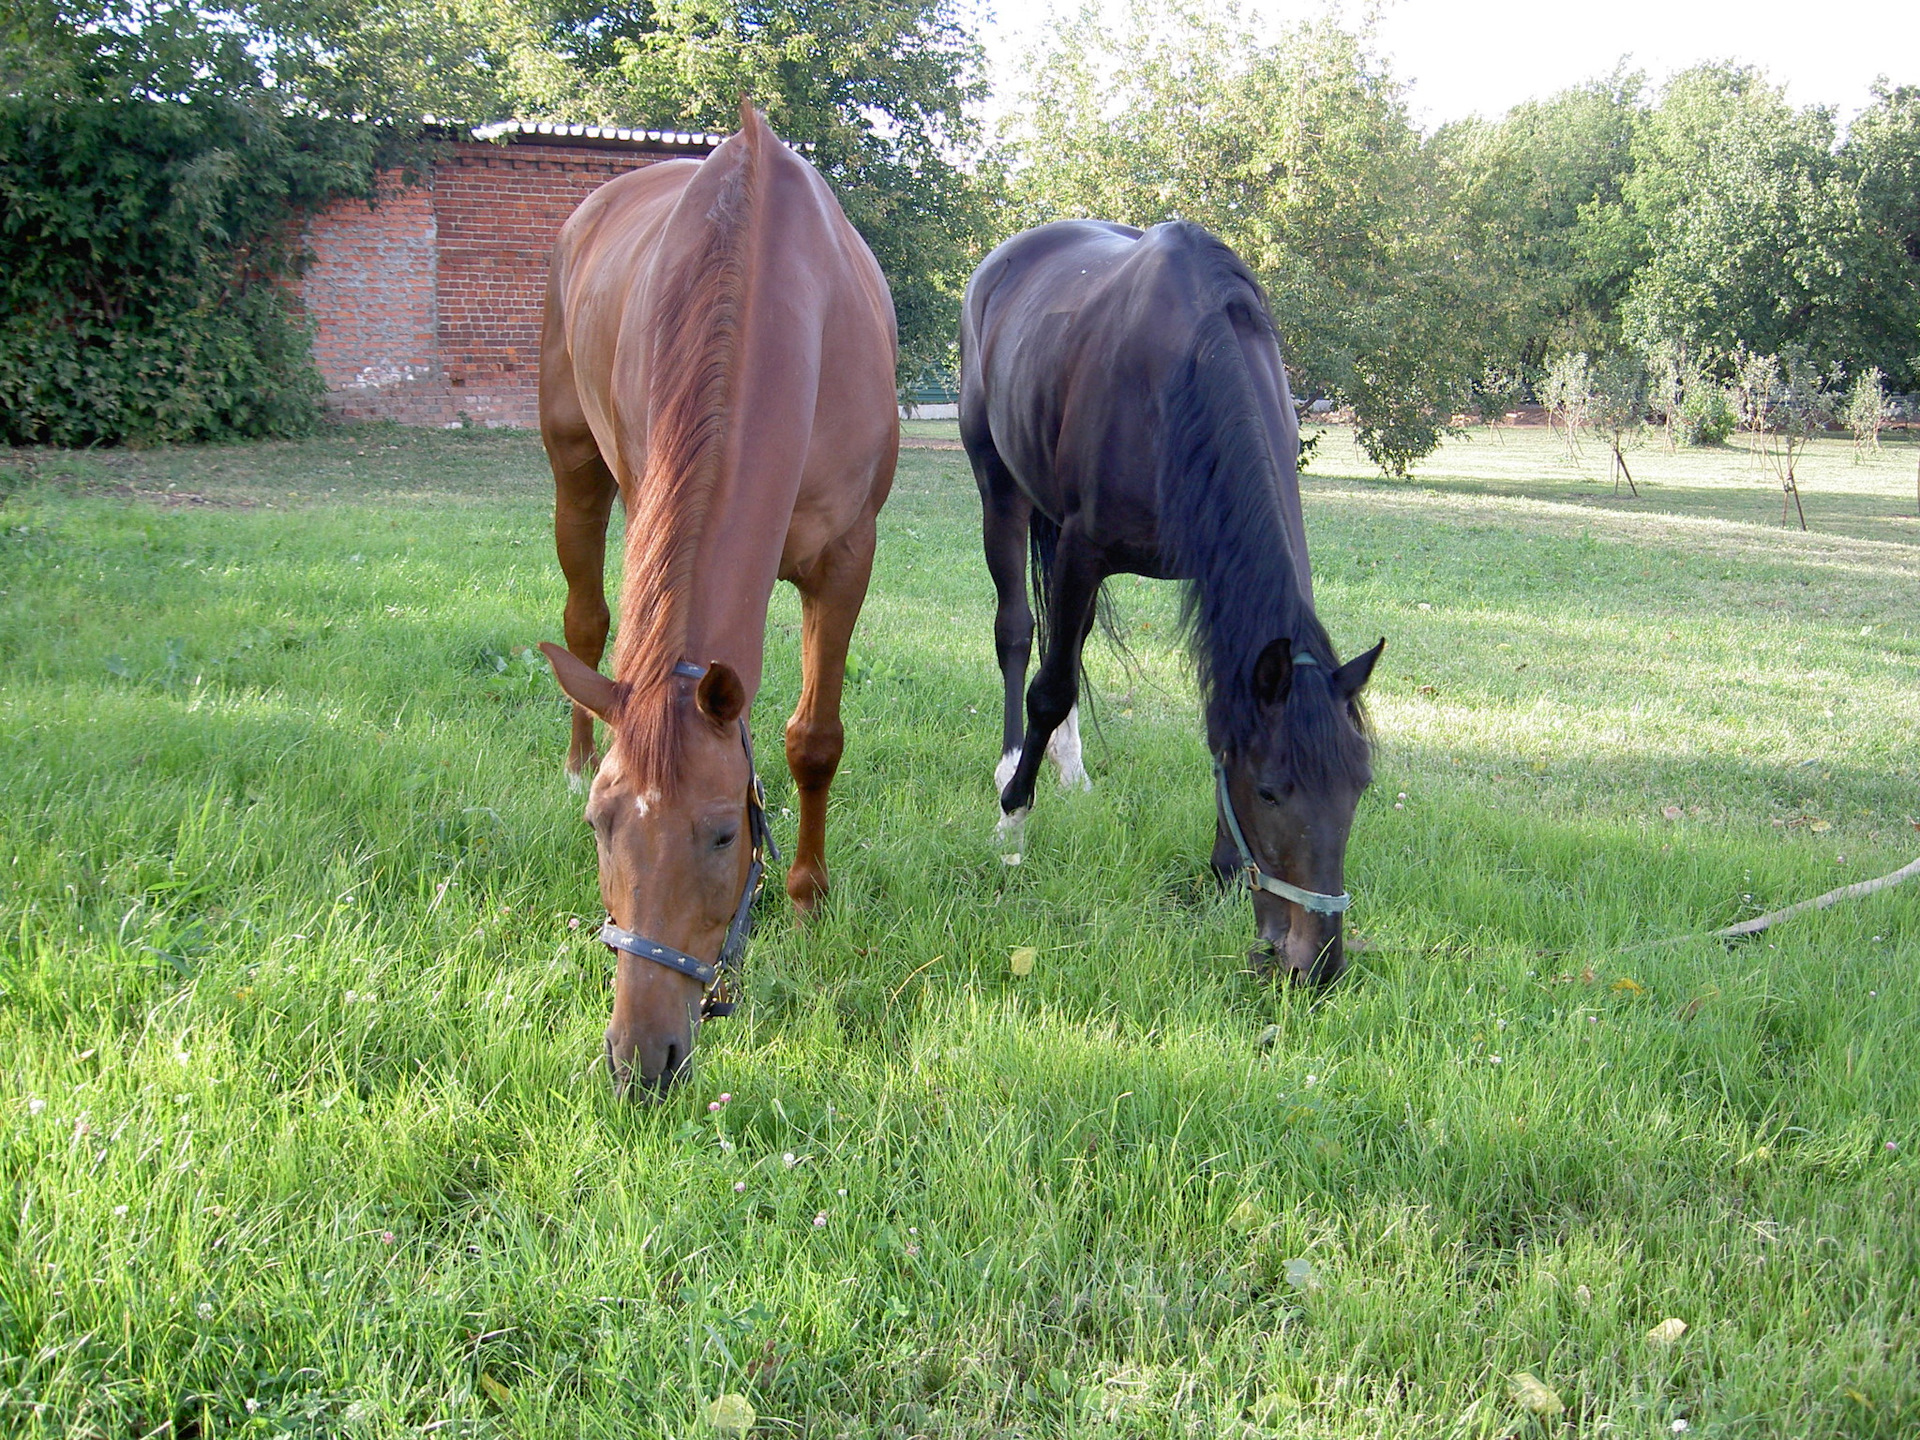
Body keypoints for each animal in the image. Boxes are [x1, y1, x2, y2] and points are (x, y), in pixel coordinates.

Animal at [541, 98, 898, 1090]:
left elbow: (814, 741)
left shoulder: (846, 559)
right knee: (586, 623)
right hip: (576, 468)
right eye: (599, 827)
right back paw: (576, 748)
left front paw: (808, 899)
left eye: (720, 836)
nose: (640, 1059)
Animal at [960, 222, 1382, 990]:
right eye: (1270, 792)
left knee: (1068, 640)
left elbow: (1210, 714)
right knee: (1019, 635)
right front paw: (1013, 822)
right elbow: (1049, 687)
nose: (1317, 965)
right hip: (998, 483)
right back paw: (1012, 767)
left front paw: (1222, 870)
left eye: (1359, 787)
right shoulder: (1082, 548)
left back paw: (1070, 767)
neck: (1183, 368)